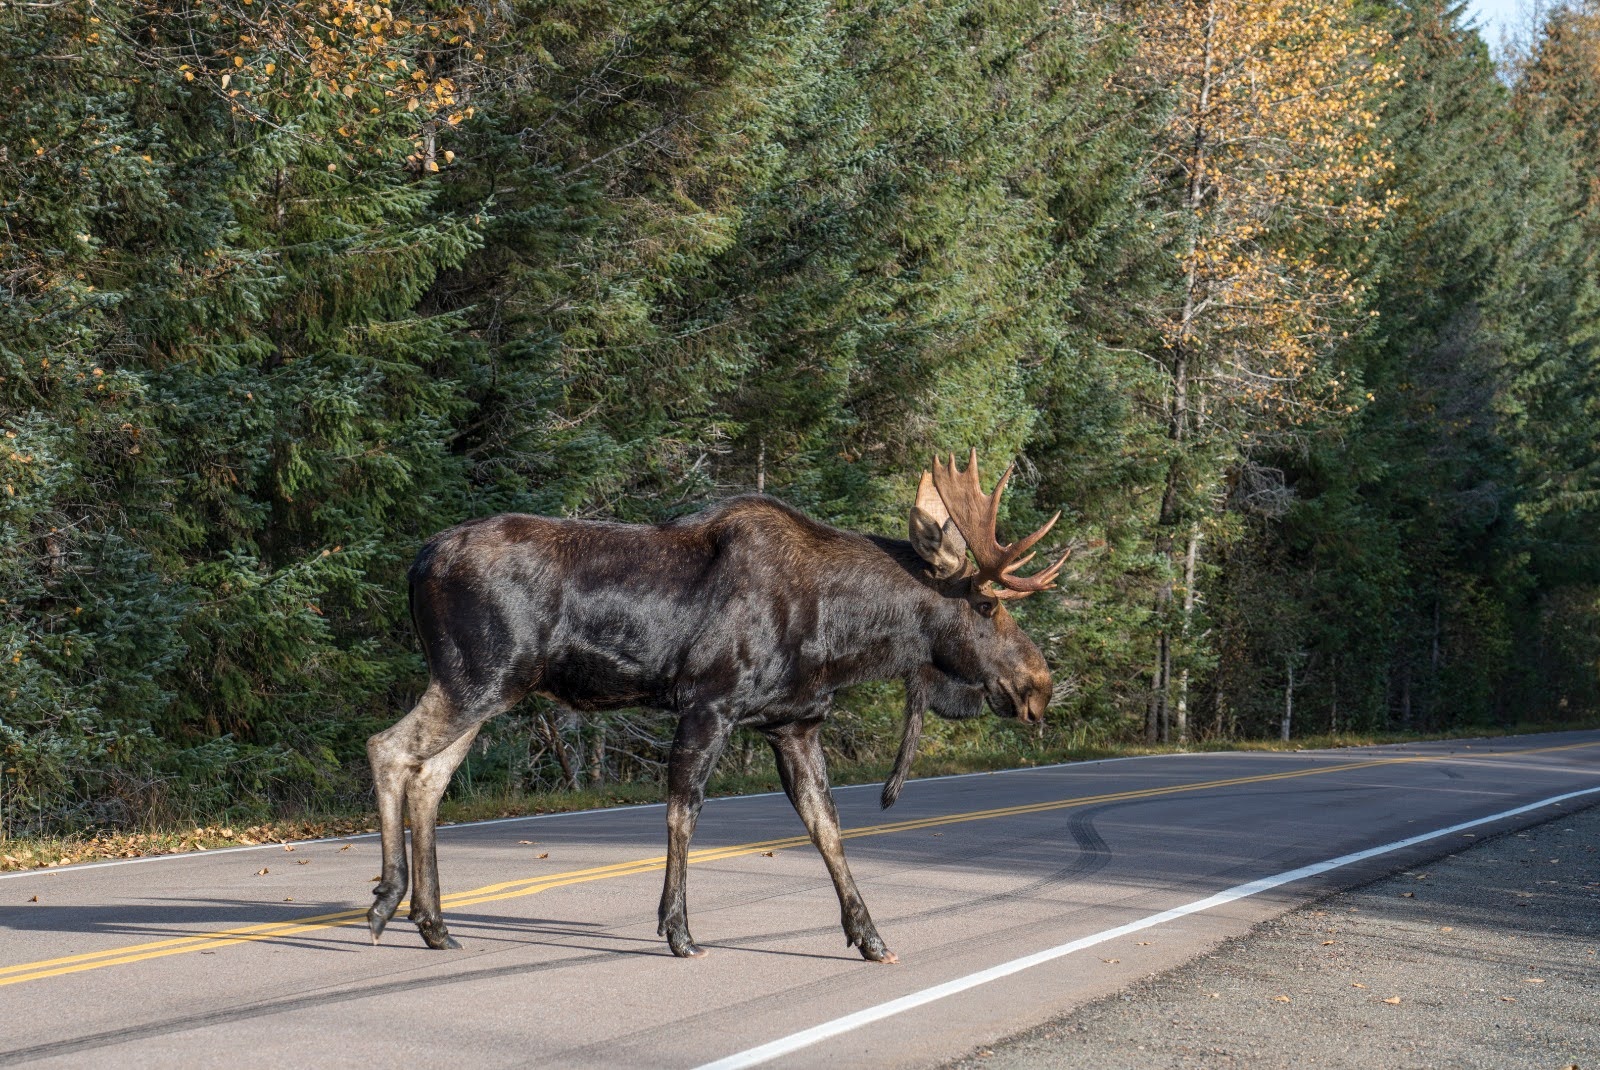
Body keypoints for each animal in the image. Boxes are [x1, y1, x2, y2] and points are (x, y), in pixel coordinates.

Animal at [363, 451, 1062, 959]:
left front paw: (869, 937)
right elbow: (684, 813)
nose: (1039, 686)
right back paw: (385, 901)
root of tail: (418, 563)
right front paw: (678, 930)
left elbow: (826, 826)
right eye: (987, 604)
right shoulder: (709, 704)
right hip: (477, 678)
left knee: (430, 778)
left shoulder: (793, 724)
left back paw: (434, 924)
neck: (842, 633)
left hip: (488, 690)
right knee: (388, 748)